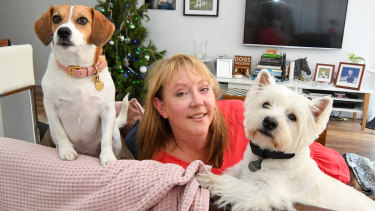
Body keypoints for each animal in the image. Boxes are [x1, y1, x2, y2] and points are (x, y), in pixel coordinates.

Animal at [35, 4, 129, 166]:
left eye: (82, 20)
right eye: (56, 18)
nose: (63, 31)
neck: (77, 70)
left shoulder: (108, 109)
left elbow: (105, 139)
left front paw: (107, 157)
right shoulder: (50, 108)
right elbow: (60, 132)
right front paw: (66, 150)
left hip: (116, 137)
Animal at [197, 70, 375, 210]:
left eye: (292, 117)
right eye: (266, 104)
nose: (269, 122)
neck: (267, 156)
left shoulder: (263, 192)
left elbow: (232, 183)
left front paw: (208, 178)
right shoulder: (239, 170)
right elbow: (230, 174)